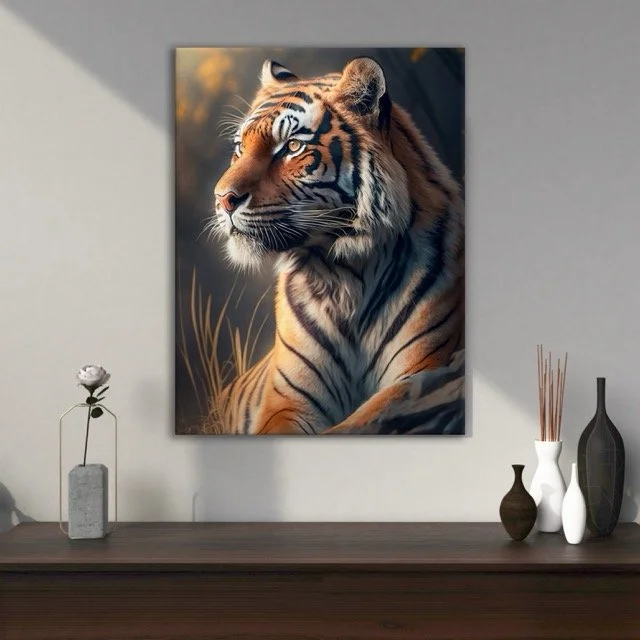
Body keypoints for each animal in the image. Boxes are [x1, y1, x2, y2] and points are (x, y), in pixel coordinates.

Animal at [210, 56, 464, 435]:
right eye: (240, 147)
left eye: (292, 147)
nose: (222, 198)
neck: (344, 272)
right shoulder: (288, 401)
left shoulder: (420, 371)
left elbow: (362, 422)